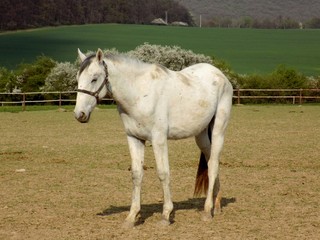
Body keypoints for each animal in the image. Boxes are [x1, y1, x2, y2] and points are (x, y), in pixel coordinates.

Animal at [74, 49, 232, 227]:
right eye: (78, 79)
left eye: (94, 78)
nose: (79, 114)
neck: (139, 93)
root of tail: (220, 75)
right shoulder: (134, 138)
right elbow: (136, 175)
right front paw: (131, 217)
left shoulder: (158, 139)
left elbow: (163, 173)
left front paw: (166, 215)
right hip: (202, 136)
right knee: (212, 161)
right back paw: (216, 205)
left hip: (219, 130)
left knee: (213, 165)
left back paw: (207, 211)